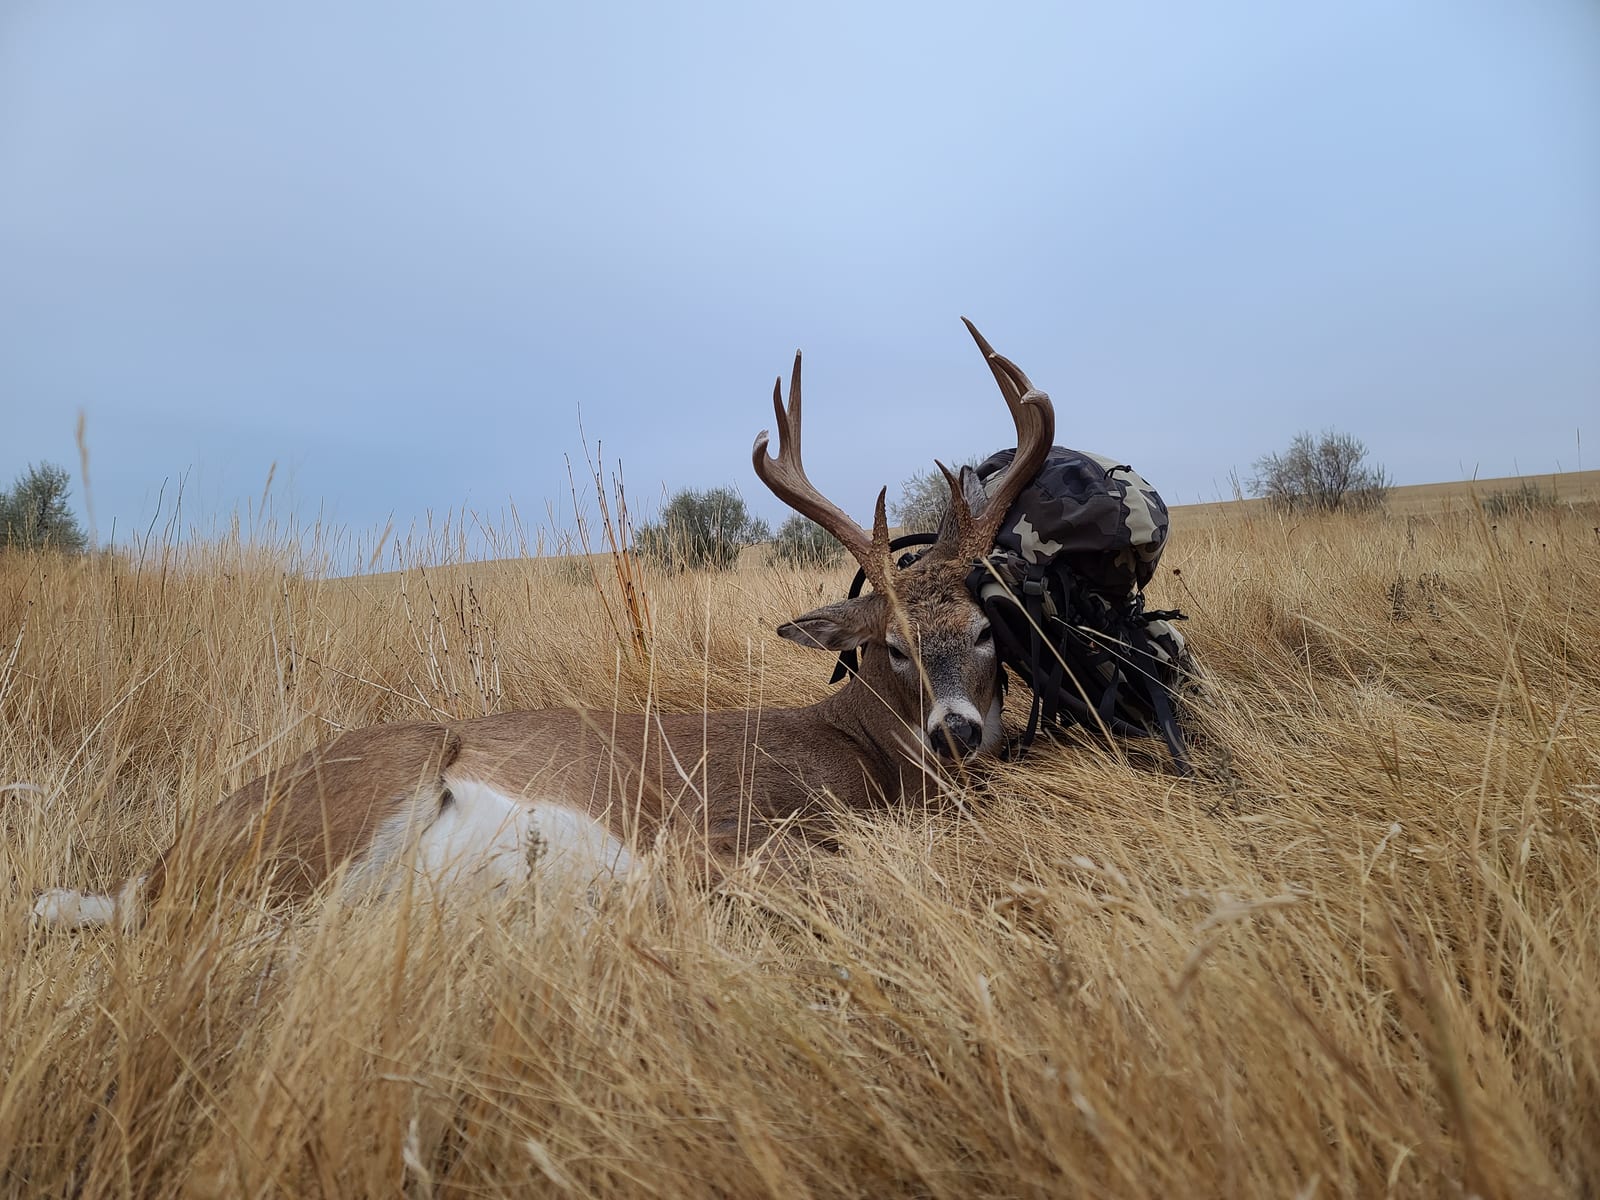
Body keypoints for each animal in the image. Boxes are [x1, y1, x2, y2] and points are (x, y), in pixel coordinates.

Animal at [32, 320, 1056, 930]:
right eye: (891, 648)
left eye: (986, 631)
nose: (956, 732)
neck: (866, 753)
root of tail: (154, 869)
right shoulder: (732, 826)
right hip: (369, 788)